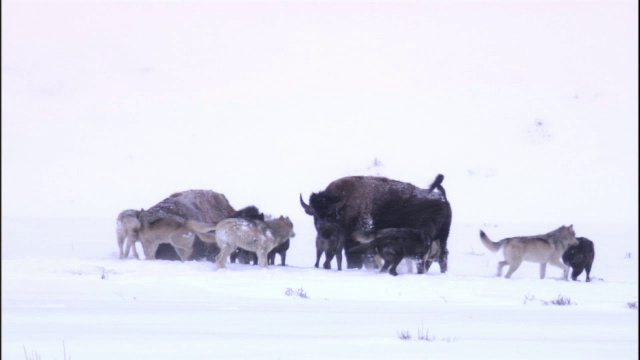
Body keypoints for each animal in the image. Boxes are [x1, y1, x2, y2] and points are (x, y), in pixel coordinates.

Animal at [300, 174, 450, 270]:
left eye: (331, 214)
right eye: (315, 214)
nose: (323, 230)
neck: (345, 204)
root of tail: (442, 199)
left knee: (438, 257)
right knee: (442, 256)